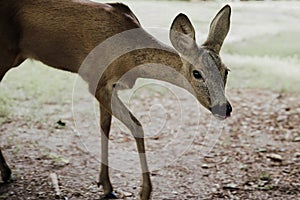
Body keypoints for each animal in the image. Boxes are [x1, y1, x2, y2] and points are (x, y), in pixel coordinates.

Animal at [0, 0, 232, 199]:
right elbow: (135, 125)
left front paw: (106, 185)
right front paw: (143, 191)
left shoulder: (111, 87)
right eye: (197, 73)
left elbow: (107, 126)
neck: (130, 58)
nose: (225, 108)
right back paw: (6, 172)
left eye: (226, 71)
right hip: (5, 53)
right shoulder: (97, 81)